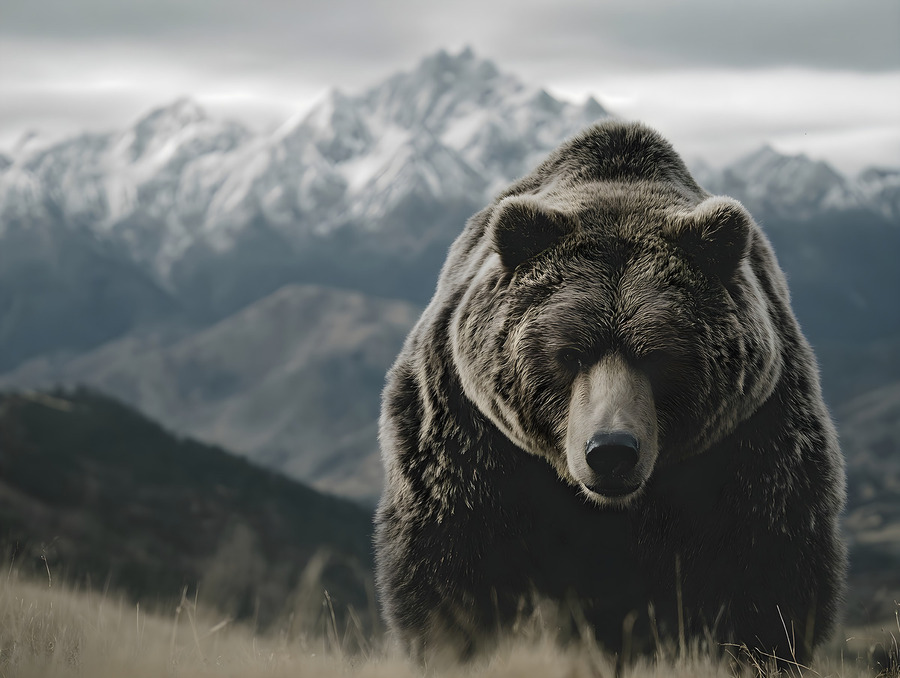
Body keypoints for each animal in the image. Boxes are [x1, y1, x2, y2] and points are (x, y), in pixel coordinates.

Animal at [374, 120, 846, 666]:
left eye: (659, 354)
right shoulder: (471, 440)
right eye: (570, 353)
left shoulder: (753, 443)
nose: (612, 451)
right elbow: (456, 570)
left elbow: (762, 577)